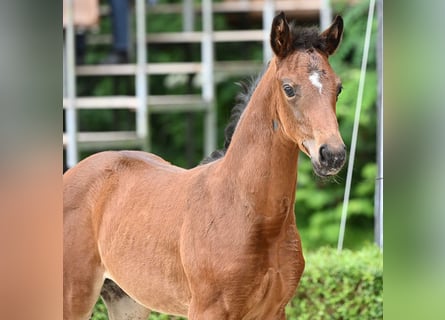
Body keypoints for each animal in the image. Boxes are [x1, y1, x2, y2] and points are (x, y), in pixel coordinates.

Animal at [64, 11, 346, 318]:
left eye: (338, 88)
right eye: (289, 88)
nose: (332, 154)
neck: (249, 210)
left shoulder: (274, 311)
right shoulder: (207, 309)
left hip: (126, 299)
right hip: (74, 297)